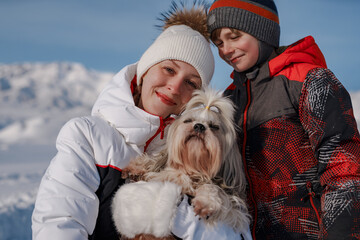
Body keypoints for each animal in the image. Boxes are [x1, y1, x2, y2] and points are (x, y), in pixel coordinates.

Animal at [112, 88, 250, 240]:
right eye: (188, 120)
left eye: (214, 126)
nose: (199, 126)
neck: (195, 168)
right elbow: (159, 167)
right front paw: (136, 168)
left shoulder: (235, 213)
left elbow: (216, 190)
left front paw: (205, 201)